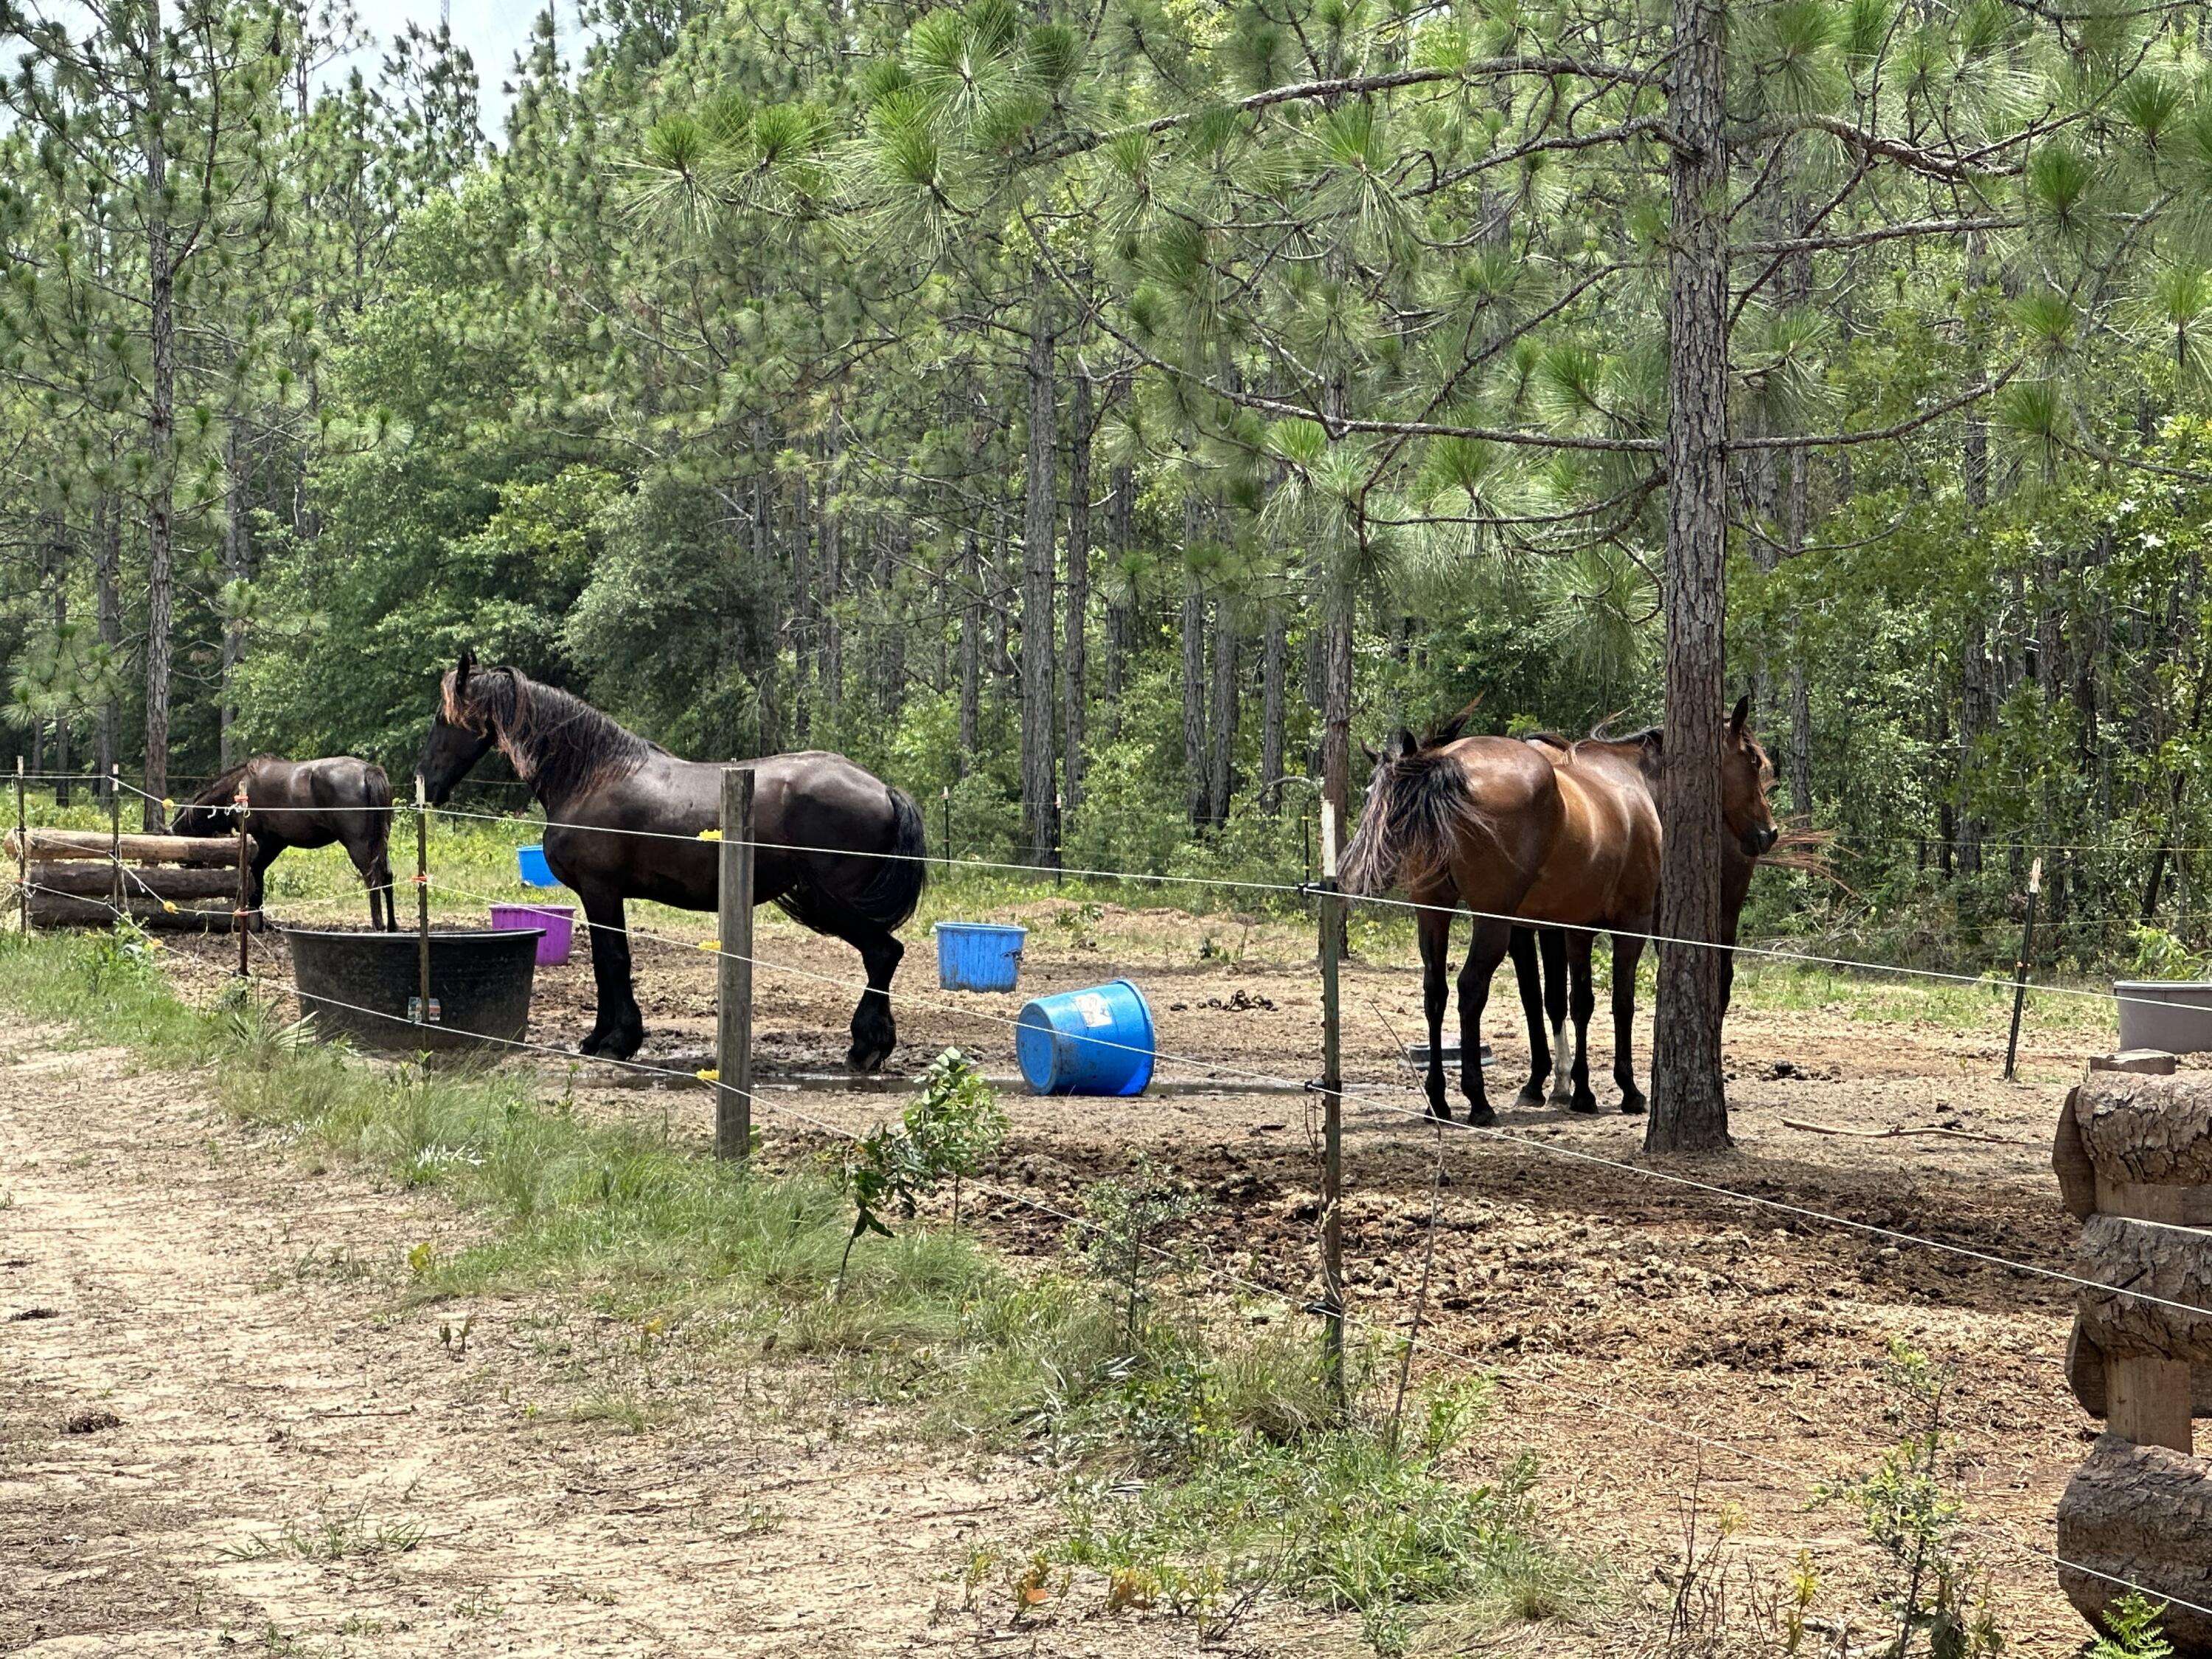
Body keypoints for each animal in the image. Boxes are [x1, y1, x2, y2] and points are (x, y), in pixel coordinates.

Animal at [175, 757, 400, 929]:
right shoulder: (273, 844)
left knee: (373, 878)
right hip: (380, 843)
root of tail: (368, 770)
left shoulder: (262, 843)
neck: (238, 789)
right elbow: (258, 880)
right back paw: (392, 925)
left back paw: (378, 924)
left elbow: (255, 878)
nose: (185, 867)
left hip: (359, 845)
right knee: (387, 877)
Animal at [416, 655, 925, 1071]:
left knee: (883, 953)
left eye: (444, 718)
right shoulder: (600, 896)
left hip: (833, 903)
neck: (592, 776)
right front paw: (601, 1037)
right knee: (883, 955)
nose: (425, 781)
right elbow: (605, 962)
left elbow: (612, 960)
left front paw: (616, 1041)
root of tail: (883, 788)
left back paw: (866, 1047)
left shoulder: (601, 891)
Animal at [1327, 703, 1778, 1133]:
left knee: (1435, 993)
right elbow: (1621, 1003)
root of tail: (1446, 767)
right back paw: (1478, 1100)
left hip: (1433, 913)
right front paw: (1628, 1089)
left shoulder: (1575, 928)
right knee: (1471, 989)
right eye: (1753, 761)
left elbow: (1578, 1003)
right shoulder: (1629, 926)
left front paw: (1582, 1092)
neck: (1634, 782)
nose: (1768, 833)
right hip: (1493, 922)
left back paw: (1437, 1101)